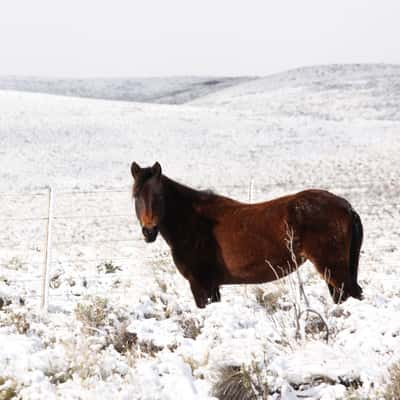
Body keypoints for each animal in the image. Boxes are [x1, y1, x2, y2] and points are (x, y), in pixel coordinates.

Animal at [131, 161, 362, 308]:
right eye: (135, 196)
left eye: (159, 197)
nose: (149, 231)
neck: (193, 221)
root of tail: (346, 207)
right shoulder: (213, 286)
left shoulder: (201, 284)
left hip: (332, 269)